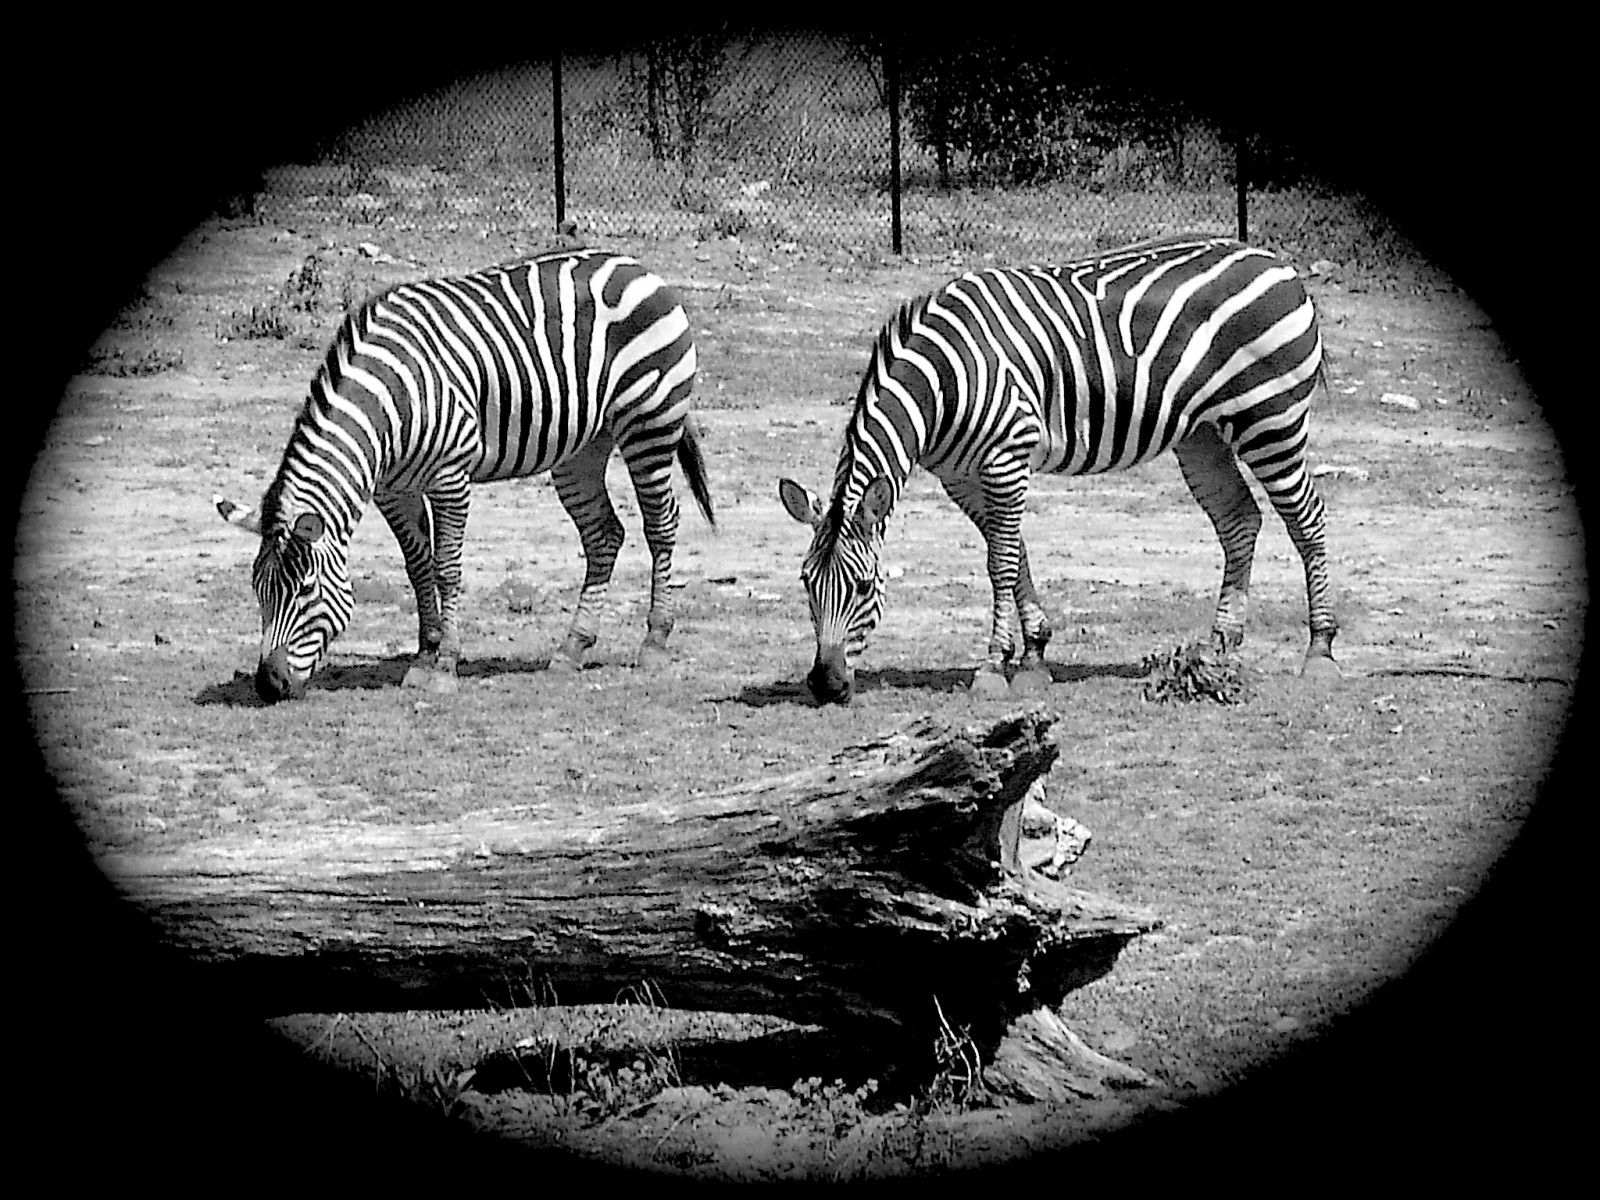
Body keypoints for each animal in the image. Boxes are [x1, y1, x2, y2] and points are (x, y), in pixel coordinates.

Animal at [216, 248, 715, 704]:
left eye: (305, 592)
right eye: (258, 589)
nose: (268, 685)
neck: (389, 403)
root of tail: (634, 265)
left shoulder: (450, 477)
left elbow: (447, 569)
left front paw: (445, 667)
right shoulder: (393, 491)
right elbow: (417, 567)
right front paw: (424, 658)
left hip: (651, 422)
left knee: (661, 524)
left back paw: (653, 643)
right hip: (583, 448)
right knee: (604, 535)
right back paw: (571, 648)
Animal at [779, 234, 1337, 705]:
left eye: (863, 588)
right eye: (806, 582)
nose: (826, 685)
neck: (940, 383)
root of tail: (1279, 263)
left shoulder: (1006, 456)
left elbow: (1000, 563)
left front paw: (992, 667)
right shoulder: (962, 475)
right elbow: (1012, 553)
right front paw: (1033, 655)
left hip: (1271, 418)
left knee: (1307, 520)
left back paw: (1320, 651)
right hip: (1202, 435)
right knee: (1239, 519)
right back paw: (1219, 646)